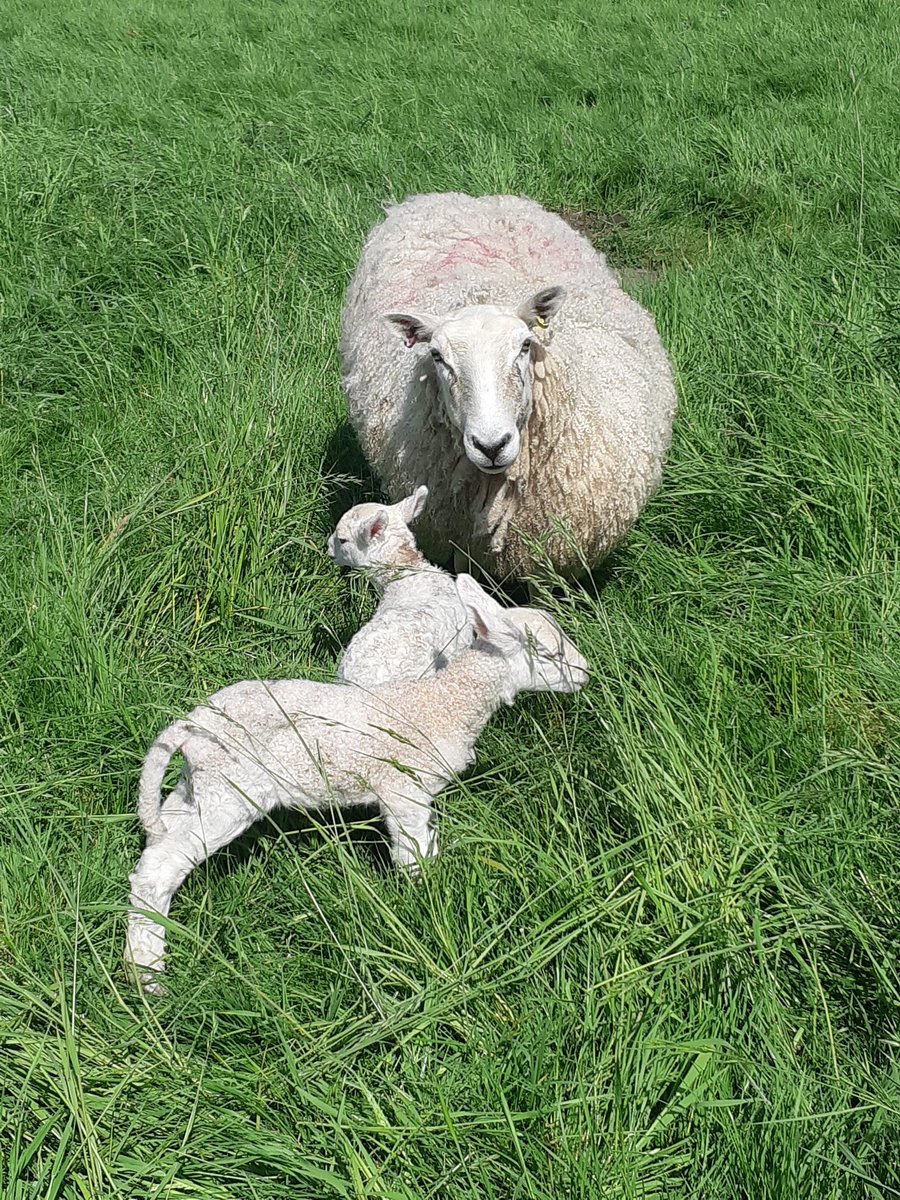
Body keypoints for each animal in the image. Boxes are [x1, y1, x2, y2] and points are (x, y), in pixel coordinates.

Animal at [124, 574, 589, 992]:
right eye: (548, 651)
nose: (585, 673)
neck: (443, 704)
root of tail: (190, 725)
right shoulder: (403, 789)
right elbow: (414, 855)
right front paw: (424, 899)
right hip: (230, 790)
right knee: (159, 868)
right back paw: (150, 977)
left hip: (196, 786)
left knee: (155, 848)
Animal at [340, 191, 677, 582]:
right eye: (437, 355)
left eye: (525, 345)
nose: (491, 446)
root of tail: (465, 198)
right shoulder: (460, 542)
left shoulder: (548, 548)